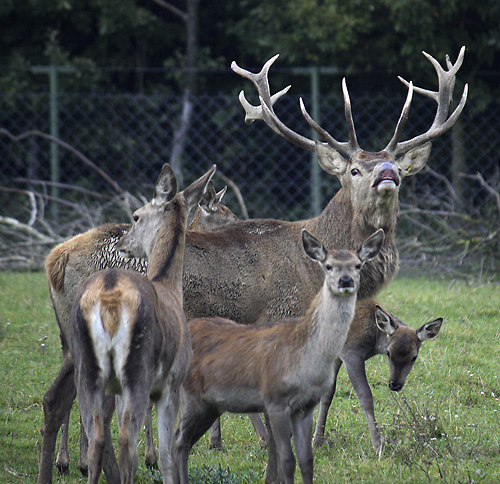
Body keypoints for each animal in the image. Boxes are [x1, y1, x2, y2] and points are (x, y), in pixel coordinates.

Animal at [66, 164, 215, 484]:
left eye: (136, 216)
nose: (123, 244)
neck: (169, 286)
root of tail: (109, 296)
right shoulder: (172, 381)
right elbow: (169, 453)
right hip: (138, 368)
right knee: (126, 440)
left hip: (87, 368)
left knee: (97, 436)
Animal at [175, 228, 382, 484]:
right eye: (328, 266)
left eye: (358, 265)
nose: (346, 281)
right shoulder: (275, 400)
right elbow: (287, 460)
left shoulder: (305, 407)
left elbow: (307, 460)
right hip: (191, 396)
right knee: (178, 439)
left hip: (208, 403)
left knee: (182, 442)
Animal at [310, 298, 444, 450]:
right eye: (388, 352)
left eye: (414, 357)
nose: (395, 384)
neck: (373, 342)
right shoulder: (351, 352)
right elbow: (365, 396)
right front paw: (378, 445)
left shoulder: (336, 357)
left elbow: (327, 394)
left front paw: (317, 441)